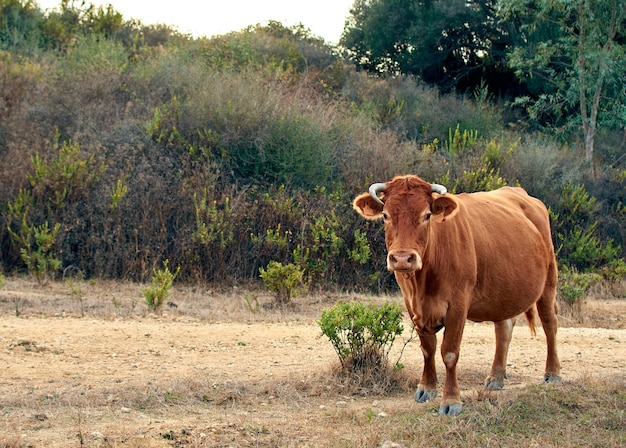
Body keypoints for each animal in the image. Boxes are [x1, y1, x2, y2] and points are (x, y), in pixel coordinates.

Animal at [352, 175, 560, 416]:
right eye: (386, 215)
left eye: (427, 215)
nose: (403, 258)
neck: (422, 282)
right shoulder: (412, 306)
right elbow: (427, 349)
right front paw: (426, 388)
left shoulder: (458, 306)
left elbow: (449, 353)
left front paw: (451, 400)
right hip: (502, 292)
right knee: (504, 330)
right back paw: (496, 377)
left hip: (548, 283)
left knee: (550, 324)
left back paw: (552, 373)